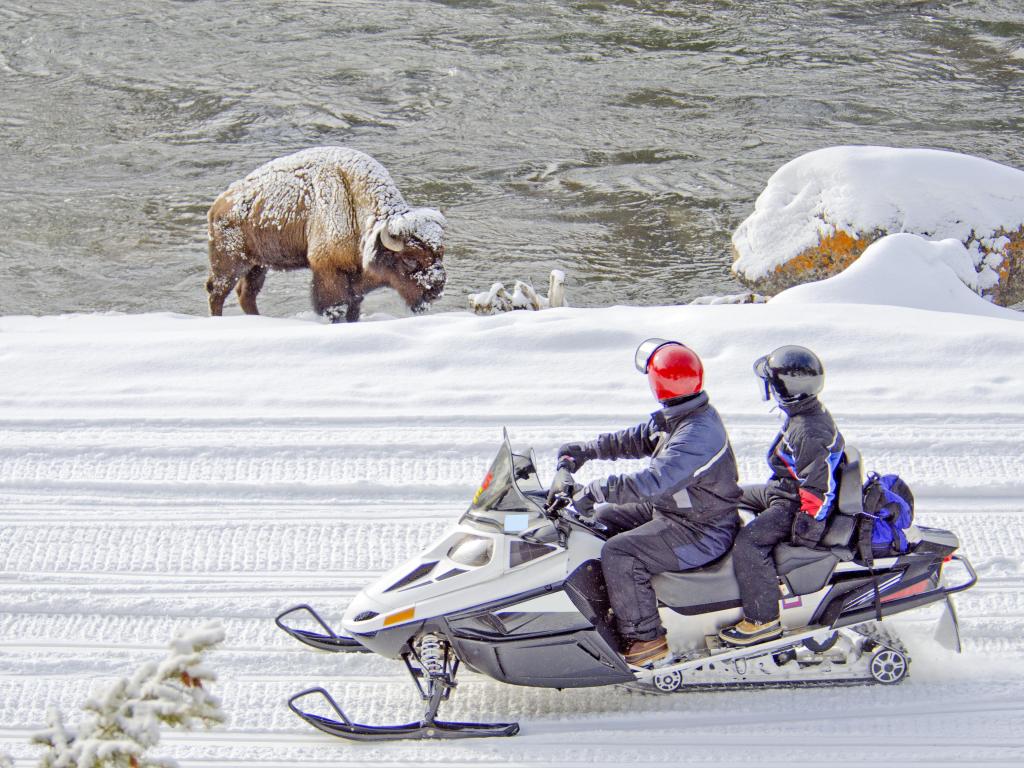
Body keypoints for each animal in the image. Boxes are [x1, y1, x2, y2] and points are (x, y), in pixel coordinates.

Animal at [205, 146, 446, 321]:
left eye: (439, 255)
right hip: (230, 263)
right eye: (410, 260)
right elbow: (335, 307)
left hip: (257, 266)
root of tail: (218, 205)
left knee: (246, 294)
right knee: (217, 292)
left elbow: (353, 308)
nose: (437, 288)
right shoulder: (328, 271)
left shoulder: (354, 282)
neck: (357, 205)